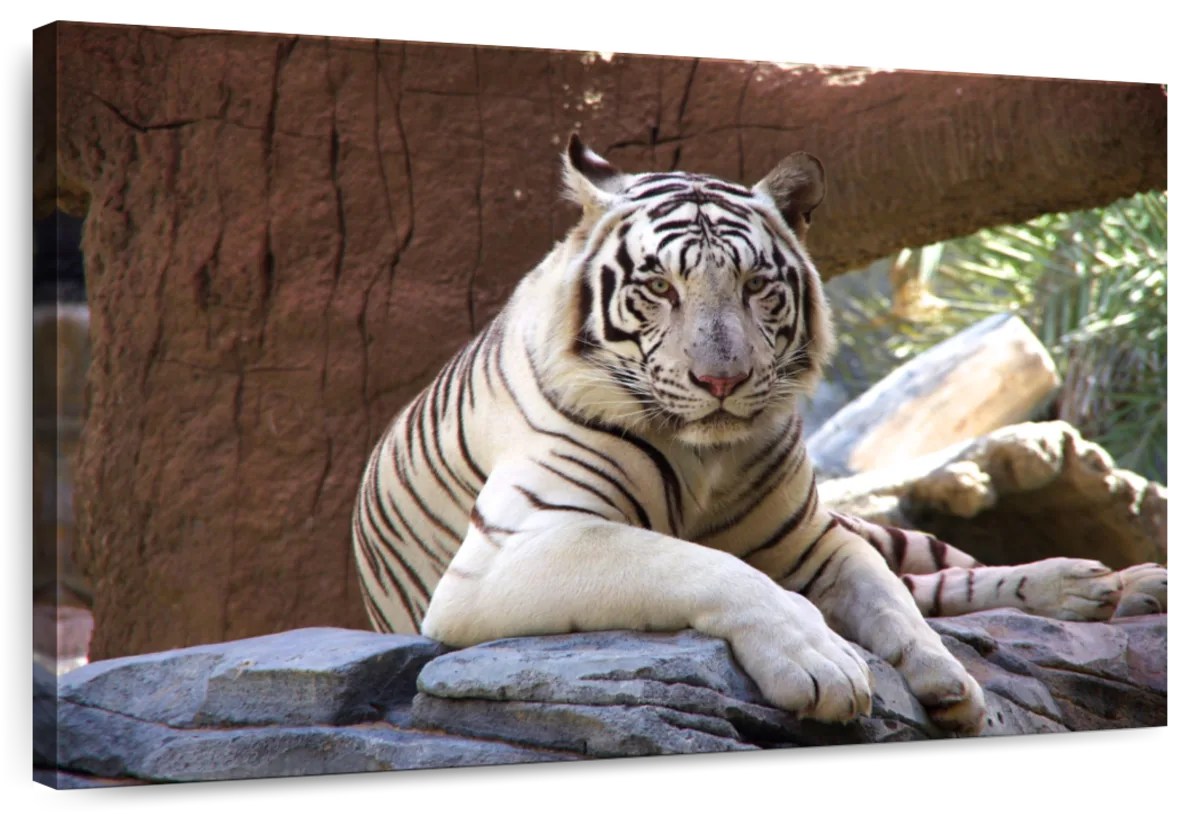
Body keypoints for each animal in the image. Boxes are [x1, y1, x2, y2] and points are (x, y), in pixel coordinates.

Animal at [352, 134, 1168, 735]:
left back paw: (1107, 583)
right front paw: (824, 665)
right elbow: (704, 565)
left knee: (942, 573)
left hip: (881, 528)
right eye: (660, 288)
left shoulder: (816, 538)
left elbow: (890, 600)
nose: (722, 380)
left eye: (755, 287)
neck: (704, 455)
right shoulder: (516, 548)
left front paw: (947, 678)